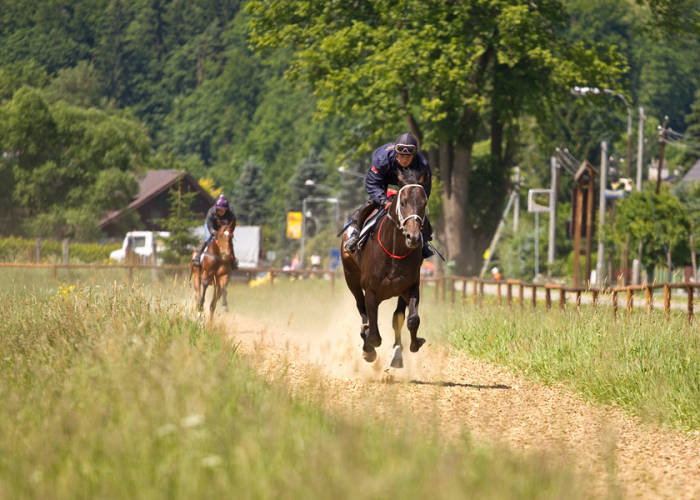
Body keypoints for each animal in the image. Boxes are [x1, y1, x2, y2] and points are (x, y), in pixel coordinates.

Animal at [340, 170, 426, 370]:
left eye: (424, 203)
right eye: (403, 202)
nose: (413, 237)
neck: (394, 252)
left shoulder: (411, 287)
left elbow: (411, 320)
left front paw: (414, 344)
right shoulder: (371, 292)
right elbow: (374, 335)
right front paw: (368, 349)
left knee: (397, 318)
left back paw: (397, 353)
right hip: (351, 278)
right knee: (361, 307)